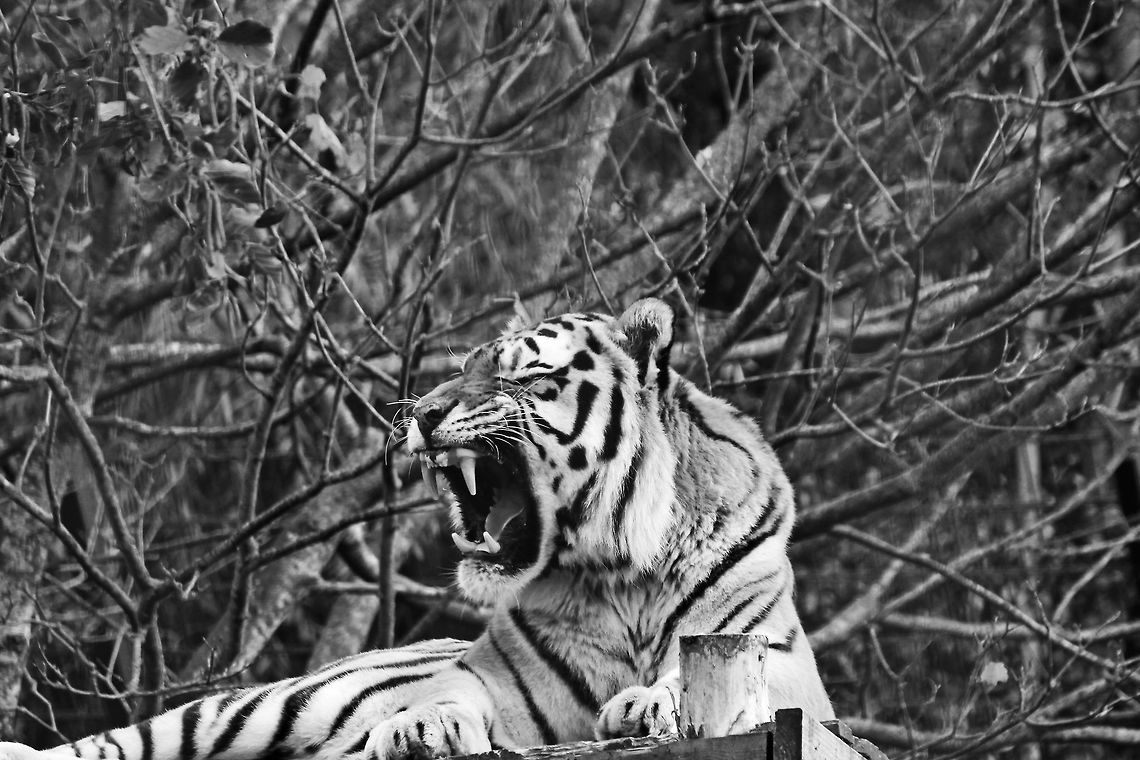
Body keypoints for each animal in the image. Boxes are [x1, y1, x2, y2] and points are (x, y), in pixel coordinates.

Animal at [0, 298, 832, 760]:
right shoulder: (492, 679)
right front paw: (421, 729)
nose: (423, 414)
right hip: (258, 706)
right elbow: (447, 694)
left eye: (522, 374)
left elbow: (708, 680)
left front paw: (649, 702)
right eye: (463, 366)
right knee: (119, 742)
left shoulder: (781, 661)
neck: (616, 570)